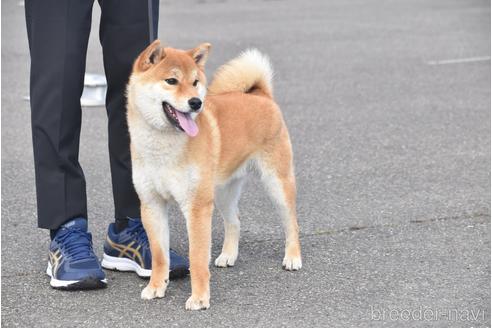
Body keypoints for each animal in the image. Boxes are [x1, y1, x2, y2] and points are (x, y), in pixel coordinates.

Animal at [126, 41, 304, 310]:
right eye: (171, 81)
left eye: (195, 82)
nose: (196, 103)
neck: (162, 147)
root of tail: (260, 95)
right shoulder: (152, 203)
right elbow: (159, 255)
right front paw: (156, 286)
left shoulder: (197, 206)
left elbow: (197, 258)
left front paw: (199, 298)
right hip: (222, 192)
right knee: (235, 220)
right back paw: (228, 255)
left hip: (276, 183)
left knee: (291, 221)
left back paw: (293, 257)